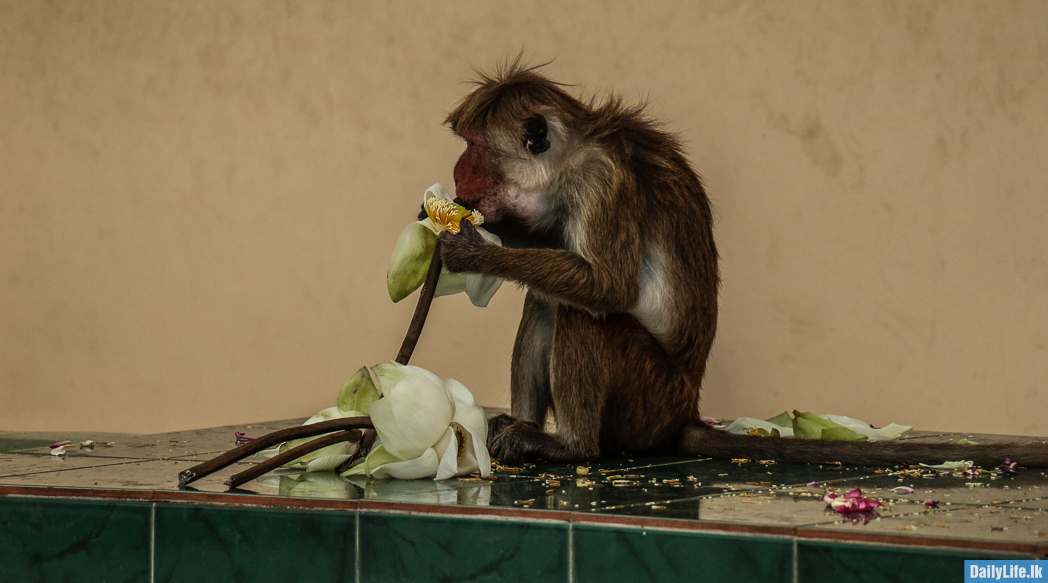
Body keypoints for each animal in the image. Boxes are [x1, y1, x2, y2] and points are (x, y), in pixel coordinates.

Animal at [431, 60, 1048, 469]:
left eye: (474, 148)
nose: (457, 172)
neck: (571, 157)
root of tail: (686, 410)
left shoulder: (599, 181)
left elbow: (606, 287)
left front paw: (470, 248)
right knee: (549, 301)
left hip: (648, 400)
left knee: (584, 315)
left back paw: (569, 446)